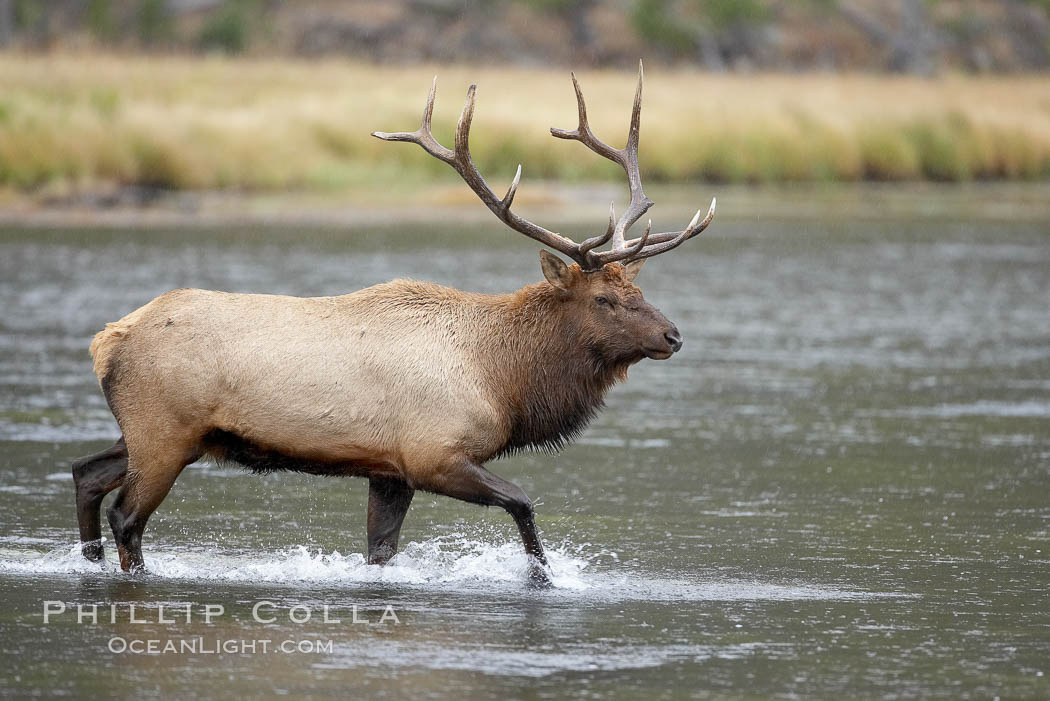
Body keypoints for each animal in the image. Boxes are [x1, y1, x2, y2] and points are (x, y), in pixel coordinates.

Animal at [71, 62, 713, 587]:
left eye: (639, 290)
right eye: (605, 298)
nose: (674, 335)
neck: (502, 379)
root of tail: (107, 339)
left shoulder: (389, 470)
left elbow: (381, 552)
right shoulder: (433, 453)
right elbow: (523, 502)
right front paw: (541, 579)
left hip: (157, 431)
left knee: (85, 473)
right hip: (165, 431)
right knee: (127, 515)